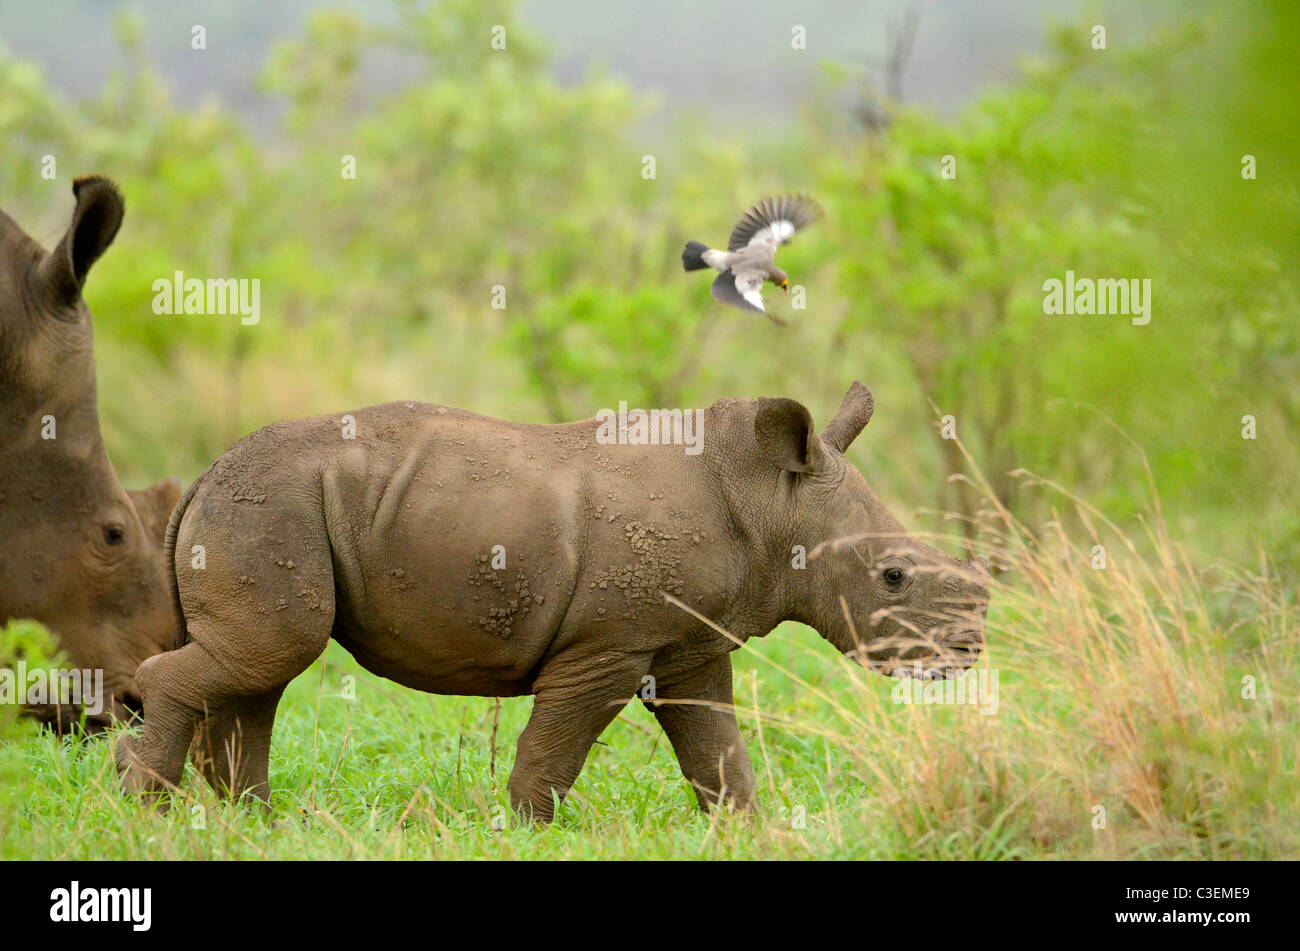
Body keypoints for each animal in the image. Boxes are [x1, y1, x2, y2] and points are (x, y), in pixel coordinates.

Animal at [117, 383, 989, 820]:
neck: (774, 501)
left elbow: (717, 748)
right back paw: (149, 810)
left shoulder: (691, 645)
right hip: (271, 504)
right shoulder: (608, 646)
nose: (971, 650)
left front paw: (746, 828)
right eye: (893, 578)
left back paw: (254, 818)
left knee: (260, 666)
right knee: (271, 653)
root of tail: (201, 476)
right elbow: (557, 745)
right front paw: (527, 827)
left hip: (272, 503)